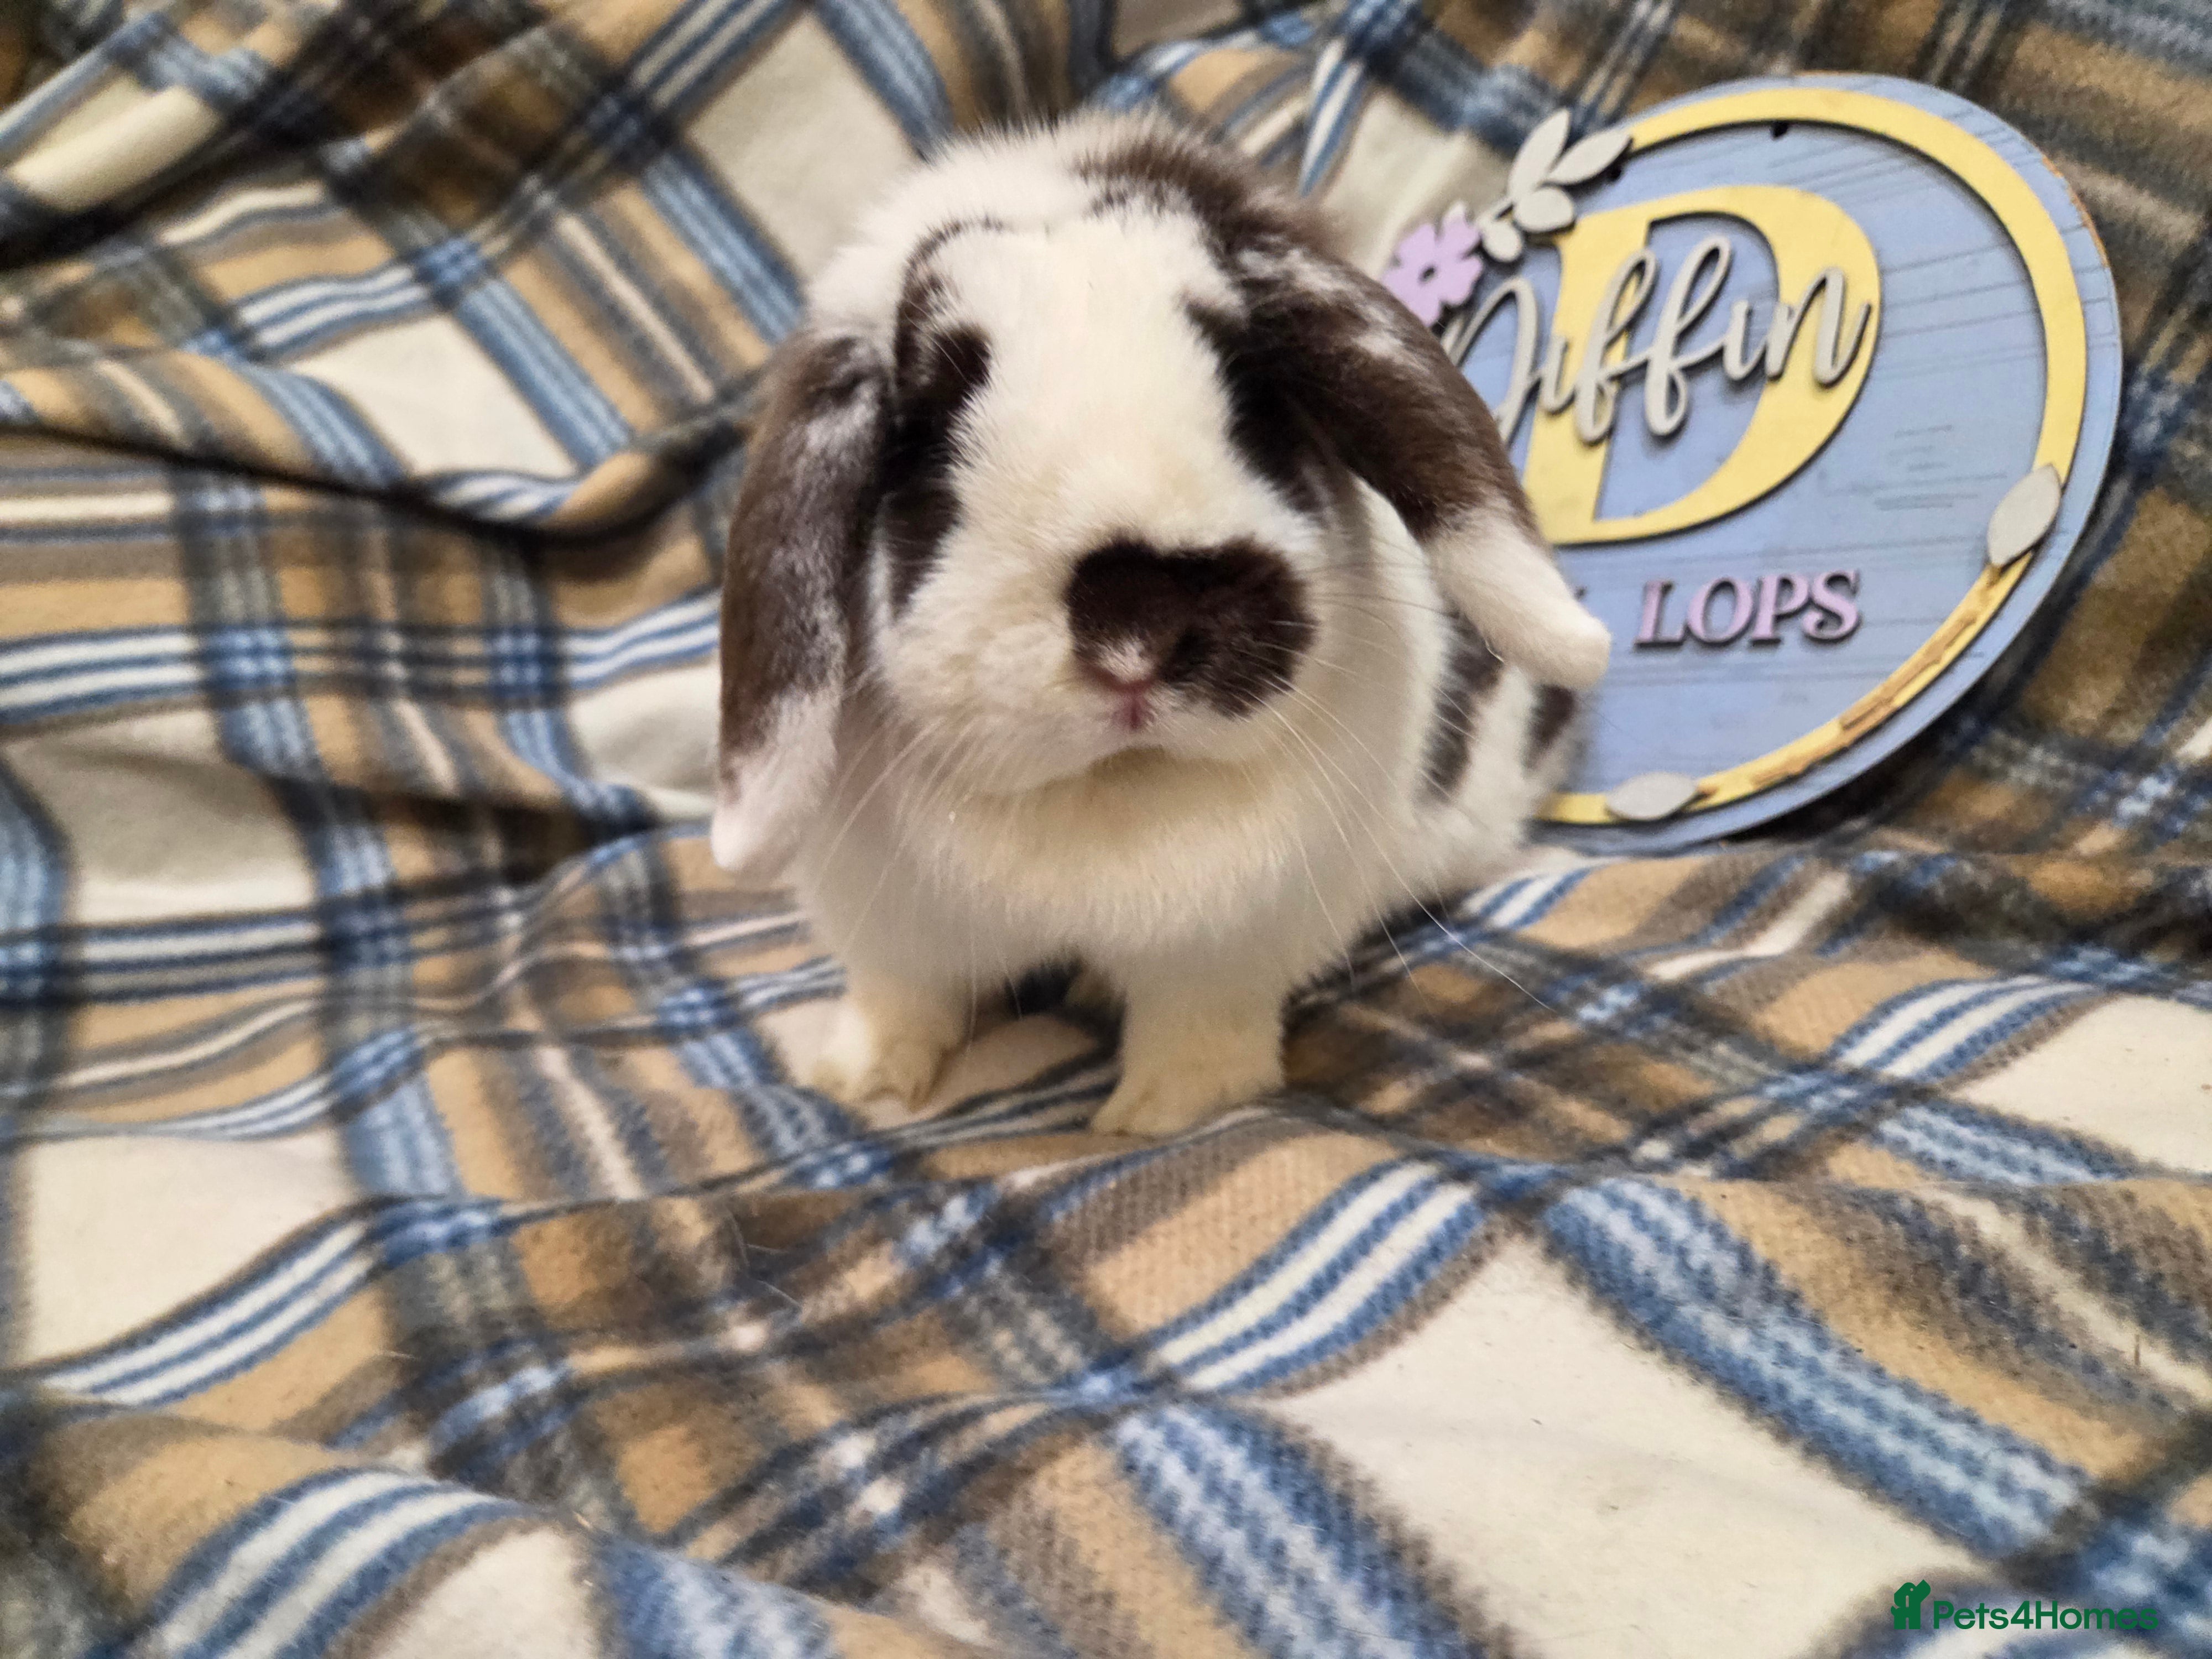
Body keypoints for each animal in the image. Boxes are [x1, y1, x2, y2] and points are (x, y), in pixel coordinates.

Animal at [710, 110, 1610, 1137]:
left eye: (1254, 410)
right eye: (924, 448)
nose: (1137, 626)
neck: (1110, 786)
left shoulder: (1228, 946)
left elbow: (1198, 1029)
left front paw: (1160, 1116)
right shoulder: (895, 925)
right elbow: (904, 996)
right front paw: (860, 1082)